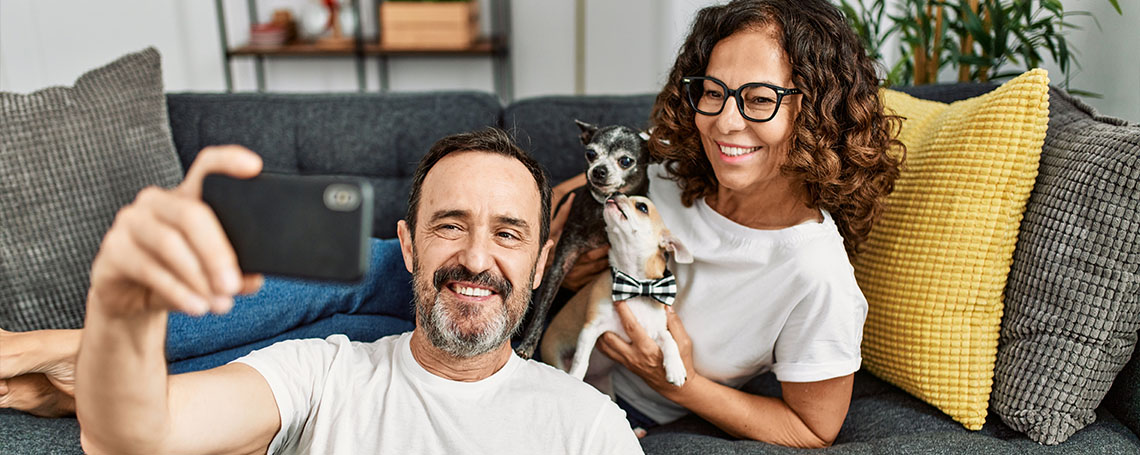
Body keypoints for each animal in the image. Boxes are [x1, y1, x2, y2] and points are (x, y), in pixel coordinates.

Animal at [517, 120, 652, 360]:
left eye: (625, 161)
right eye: (591, 154)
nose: (599, 170)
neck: (602, 208)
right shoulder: (560, 263)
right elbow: (543, 307)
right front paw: (528, 345)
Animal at [538, 193, 688, 389]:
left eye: (642, 207)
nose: (615, 193)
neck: (637, 287)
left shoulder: (656, 331)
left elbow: (670, 340)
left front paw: (676, 368)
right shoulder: (591, 328)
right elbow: (581, 360)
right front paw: (575, 380)